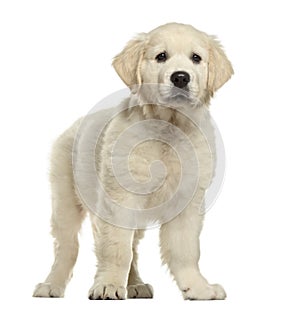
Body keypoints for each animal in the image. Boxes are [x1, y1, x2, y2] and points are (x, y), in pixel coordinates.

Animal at [33, 23, 234, 302]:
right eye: (161, 56)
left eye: (196, 58)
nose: (180, 78)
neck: (168, 128)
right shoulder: (120, 197)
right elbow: (117, 247)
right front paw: (107, 284)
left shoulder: (187, 201)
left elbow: (185, 250)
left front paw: (198, 288)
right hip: (65, 199)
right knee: (67, 246)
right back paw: (52, 284)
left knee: (133, 248)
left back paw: (135, 284)